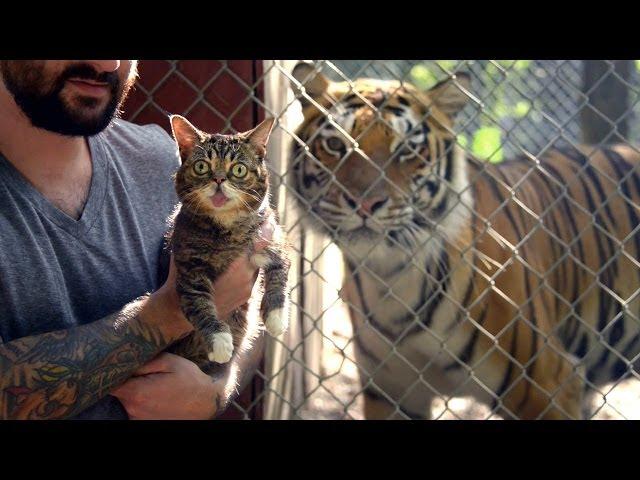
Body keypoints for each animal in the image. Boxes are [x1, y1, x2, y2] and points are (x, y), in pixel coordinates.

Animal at [168, 115, 292, 368]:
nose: (218, 179)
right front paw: (219, 340)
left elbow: (280, 268)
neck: (227, 228)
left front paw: (276, 316)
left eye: (239, 169)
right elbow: (198, 302)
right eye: (202, 166)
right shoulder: (188, 267)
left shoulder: (272, 236)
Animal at [288, 62, 640, 418]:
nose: (364, 203)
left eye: (407, 149)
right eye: (335, 144)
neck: (392, 279)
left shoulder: (548, 385)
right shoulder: (390, 393)